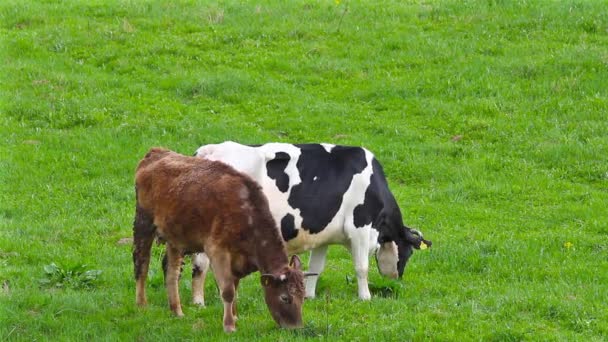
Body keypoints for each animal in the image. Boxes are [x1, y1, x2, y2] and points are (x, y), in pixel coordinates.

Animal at [136, 147, 312, 332]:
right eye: (285, 297)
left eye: (303, 296)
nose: (296, 328)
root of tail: (157, 152)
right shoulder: (217, 251)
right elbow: (228, 291)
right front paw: (229, 326)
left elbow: (235, 286)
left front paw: (235, 317)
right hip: (143, 222)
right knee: (142, 263)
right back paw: (141, 304)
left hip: (175, 238)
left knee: (172, 271)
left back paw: (177, 311)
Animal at [186, 142, 432, 302]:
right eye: (409, 252)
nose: (397, 279)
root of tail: (209, 150)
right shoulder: (360, 227)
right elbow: (361, 267)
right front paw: (366, 297)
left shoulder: (323, 236)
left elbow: (315, 268)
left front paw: (309, 296)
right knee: (204, 264)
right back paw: (203, 302)